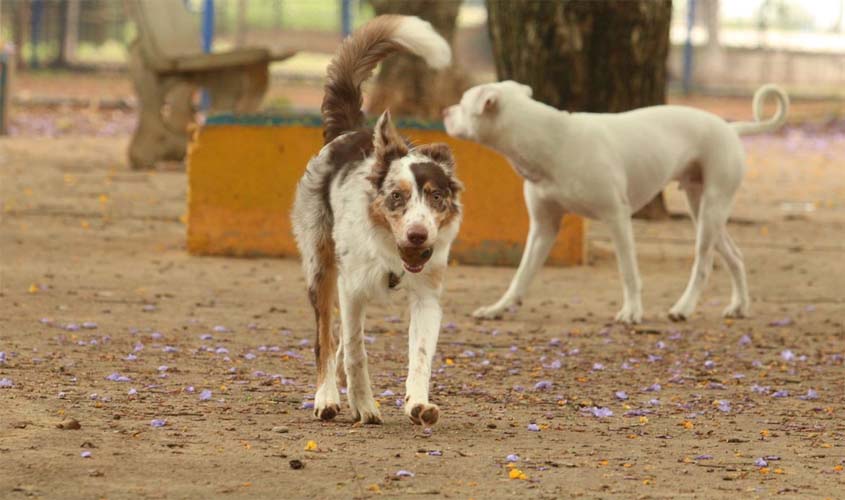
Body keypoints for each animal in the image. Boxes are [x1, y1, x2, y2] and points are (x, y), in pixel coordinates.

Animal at [290, 15, 462, 424]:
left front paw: (418, 404)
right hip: (320, 268)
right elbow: (354, 350)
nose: (418, 235)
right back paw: (327, 396)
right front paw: (364, 405)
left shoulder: (427, 297)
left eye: (435, 196)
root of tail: (351, 130)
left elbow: (420, 356)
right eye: (396, 196)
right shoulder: (351, 289)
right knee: (325, 340)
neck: (391, 255)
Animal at [446, 81, 788, 324]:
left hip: (710, 211)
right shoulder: (544, 227)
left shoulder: (617, 218)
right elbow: (521, 274)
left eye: (463, 103)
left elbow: (628, 270)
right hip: (702, 209)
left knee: (703, 265)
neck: (552, 141)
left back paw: (684, 307)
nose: (446, 111)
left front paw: (632, 311)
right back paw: (739, 306)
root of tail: (730, 127)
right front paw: (498, 308)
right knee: (736, 256)